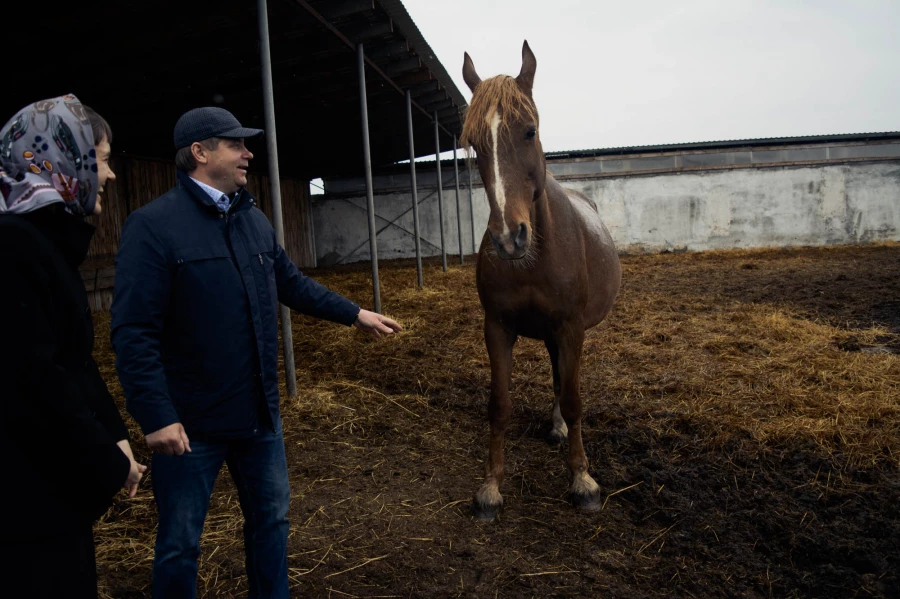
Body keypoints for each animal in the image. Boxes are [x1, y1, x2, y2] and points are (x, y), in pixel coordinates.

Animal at [460, 41, 624, 520]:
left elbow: (573, 398)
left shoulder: (570, 328)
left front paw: (583, 482)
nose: (508, 238)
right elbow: (499, 404)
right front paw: (490, 487)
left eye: (529, 131)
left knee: (562, 382)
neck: (533, 260)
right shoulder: (497, 327)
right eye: (475, 144)